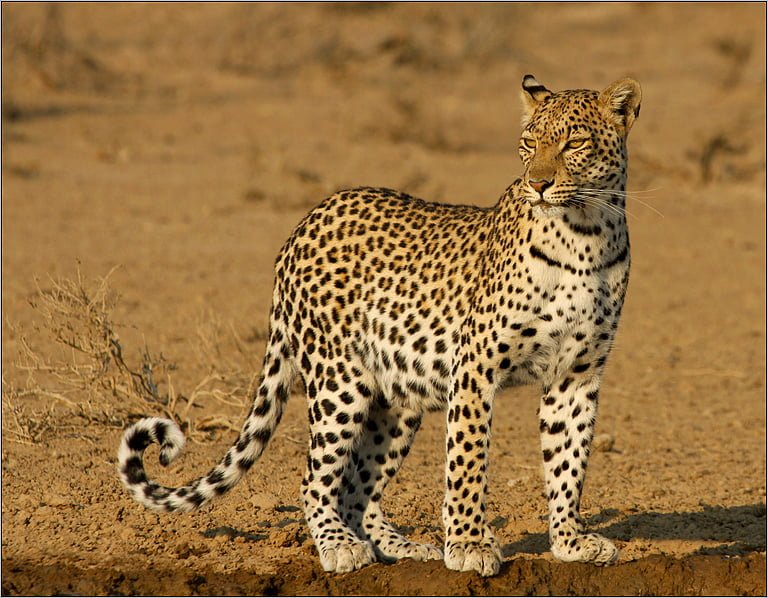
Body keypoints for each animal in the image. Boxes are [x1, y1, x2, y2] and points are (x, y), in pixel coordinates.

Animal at [118, 74, 641, 577]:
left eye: (574, 142)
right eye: (530, 143)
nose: (538, 184)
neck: (585, 234)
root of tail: (305, 223)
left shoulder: (576, 376)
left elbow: (568, 461)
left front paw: (570, 541)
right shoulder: (475, 366)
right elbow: (468, 460)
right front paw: (469, 545)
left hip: (396, 397)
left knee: (357, 490)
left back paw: (399, 546)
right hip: (339, 382)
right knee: (316, 479)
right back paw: (340, 547)